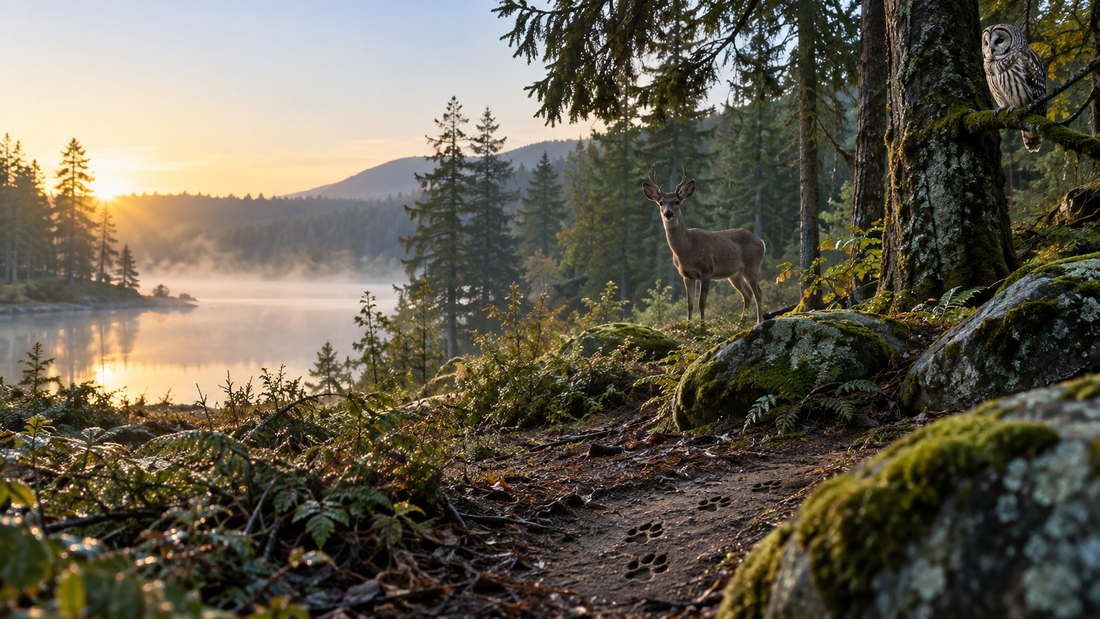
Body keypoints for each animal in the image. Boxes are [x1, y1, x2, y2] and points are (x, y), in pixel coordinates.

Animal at [642, 172, 766, 324]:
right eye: (661, 202)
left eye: (677, 201)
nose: (668, 213)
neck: (686, 250)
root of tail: (761, 242)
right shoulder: (686, 275)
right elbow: (689, 304)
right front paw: (689, 326)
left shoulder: (707, 270)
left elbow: (702, 302)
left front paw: (702, 326)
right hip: (735, 274)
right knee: (747, 294)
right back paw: (741, 323)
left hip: (752, 265)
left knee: (758, 292)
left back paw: (759, 321)